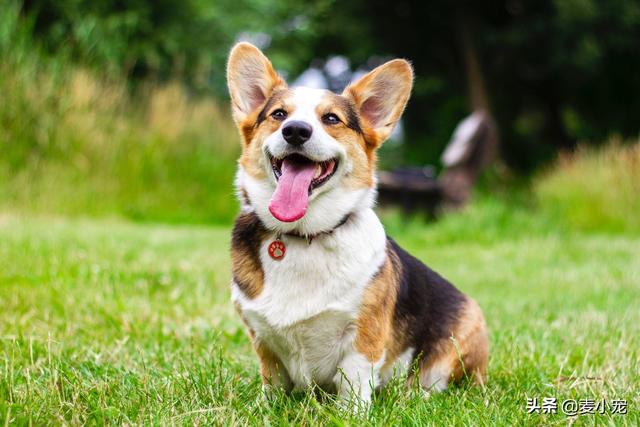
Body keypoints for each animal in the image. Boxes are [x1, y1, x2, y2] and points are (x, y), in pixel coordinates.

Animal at [228, 42, 488, 404]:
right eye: (278, 114)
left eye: (331, 119)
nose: (295, 130)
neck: (304, 235)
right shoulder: (262, 338)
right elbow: (272, 382)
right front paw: (265, 407)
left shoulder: (363, 336)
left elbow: (354, 381)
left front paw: (350, 411)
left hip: (463, 335)